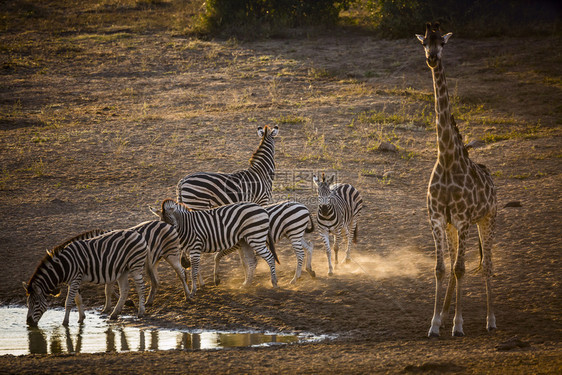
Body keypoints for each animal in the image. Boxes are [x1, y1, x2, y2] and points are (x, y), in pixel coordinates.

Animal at [150, 200, 278, 296]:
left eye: (172, 222)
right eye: (163, 224)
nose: (167, 237)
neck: (186, 226)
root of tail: (262, 208)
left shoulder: (195, 247)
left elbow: (194, 270)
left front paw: (193, 290)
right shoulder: (191, 249)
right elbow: (196, 269)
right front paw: (201, 285)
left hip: (256, 237)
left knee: (270, 257)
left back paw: (274, 282)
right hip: (245, 240)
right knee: (252, 262)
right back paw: (246, 284)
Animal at [414, 22, 496, 338]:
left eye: (443, 43)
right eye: (424, 42)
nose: (432, 58)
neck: (448, 159)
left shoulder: (463, 220)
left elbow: (461, 268)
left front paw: (458, 325)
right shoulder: (438, 219)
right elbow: (440, 268)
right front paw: (435, 323)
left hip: (487, 219)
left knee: (486, 265)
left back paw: (490, 320)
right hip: (455, 227)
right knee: (454, 263)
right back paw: (446, 313)